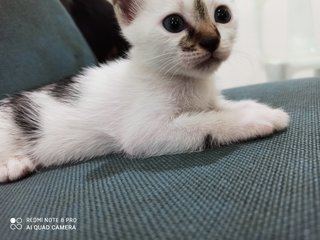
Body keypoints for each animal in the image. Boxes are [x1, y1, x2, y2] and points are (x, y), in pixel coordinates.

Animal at [0, 0, 290, 182]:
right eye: (173, 23)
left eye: (223, 14)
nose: (211, 40)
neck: (188, 83)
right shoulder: (144, 133)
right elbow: (205, 121)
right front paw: (254, 119)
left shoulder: (208, 100)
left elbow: (220, 107)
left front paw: (255, 108)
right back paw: (12, 165)